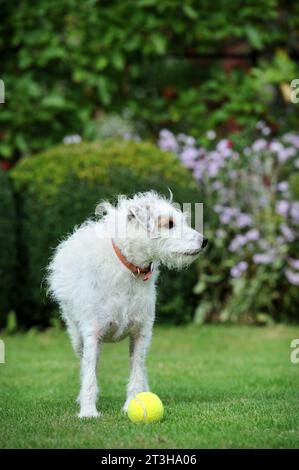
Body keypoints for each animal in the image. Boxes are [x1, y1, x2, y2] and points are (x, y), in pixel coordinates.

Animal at [47, 191, 209, 418]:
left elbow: (136, 372)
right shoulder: (92, 334)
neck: (130, 268)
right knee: (86, 365)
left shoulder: (141, 334)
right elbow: (89, 376)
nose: (204, 241)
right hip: (77, 336)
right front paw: (88, 411)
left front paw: (132, 402)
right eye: (169, 224)